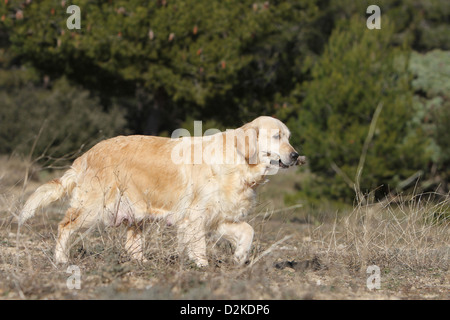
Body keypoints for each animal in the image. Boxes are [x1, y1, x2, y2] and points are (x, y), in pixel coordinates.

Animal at [18, 116, 306, 266]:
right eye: (277, 137)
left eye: (289, 137)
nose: (295, 155)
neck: (239, 161)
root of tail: (86, 155)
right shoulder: (196, 215)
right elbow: (199, 245)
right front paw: (203, 267)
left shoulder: (220, 216)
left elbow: (247, 231)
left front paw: (239, 256)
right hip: (93, 208)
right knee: (65, 226)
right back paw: (61, 259)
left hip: (133, 214)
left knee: (132, 245)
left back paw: (141, 264)